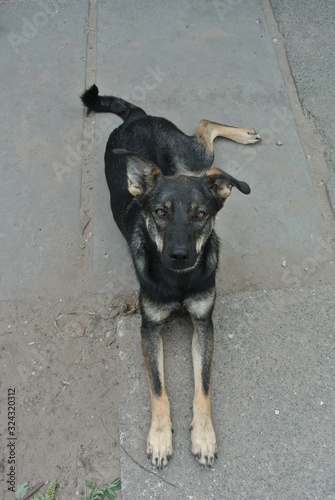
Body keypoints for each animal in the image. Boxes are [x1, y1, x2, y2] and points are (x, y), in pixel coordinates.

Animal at [81, 85, 262, 468]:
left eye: (200, 214)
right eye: (160, 212)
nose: (179, 255)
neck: (178, 282)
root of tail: (135, 117)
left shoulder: (204, 323)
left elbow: (203, 385)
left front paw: (204, 435)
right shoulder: (149, 327)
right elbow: (158, 388)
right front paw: (161, 437)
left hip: (191, 160)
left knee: (206, 131)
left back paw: (244, 134)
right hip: (188, 160)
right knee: (204, 130)